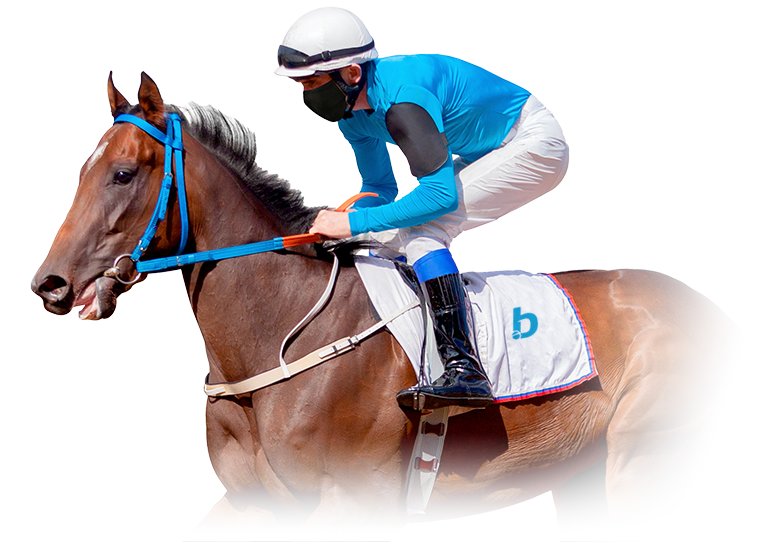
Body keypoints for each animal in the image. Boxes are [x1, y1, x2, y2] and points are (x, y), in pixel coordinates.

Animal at [31, 72, 745, 534]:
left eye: (124, 174)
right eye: (81, 171)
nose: (50, 285)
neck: (276, 337)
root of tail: (726, 320)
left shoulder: (357, 506)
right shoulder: (250, 502)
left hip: (647, 466)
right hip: (584, 481)